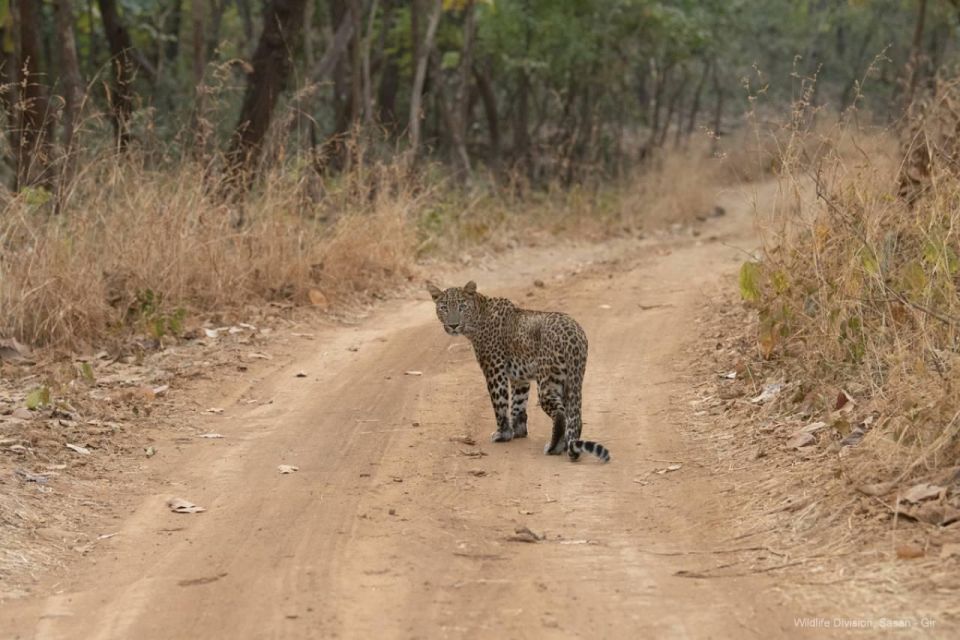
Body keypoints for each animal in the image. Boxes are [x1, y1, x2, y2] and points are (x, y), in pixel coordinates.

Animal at [426, 278, 608, 460]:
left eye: (462, 307)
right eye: (444, 308)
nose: (453, 325)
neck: (477, 318)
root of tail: (573, 334)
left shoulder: (494, 368)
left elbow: (500, 402)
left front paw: (503, 434)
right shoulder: (519, 377)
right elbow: (517, 404)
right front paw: (518, 431)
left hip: (548, 381)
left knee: (560, 413)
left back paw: (554, 447)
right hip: (572, 379)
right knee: (575, 416)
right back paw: (568, 444)